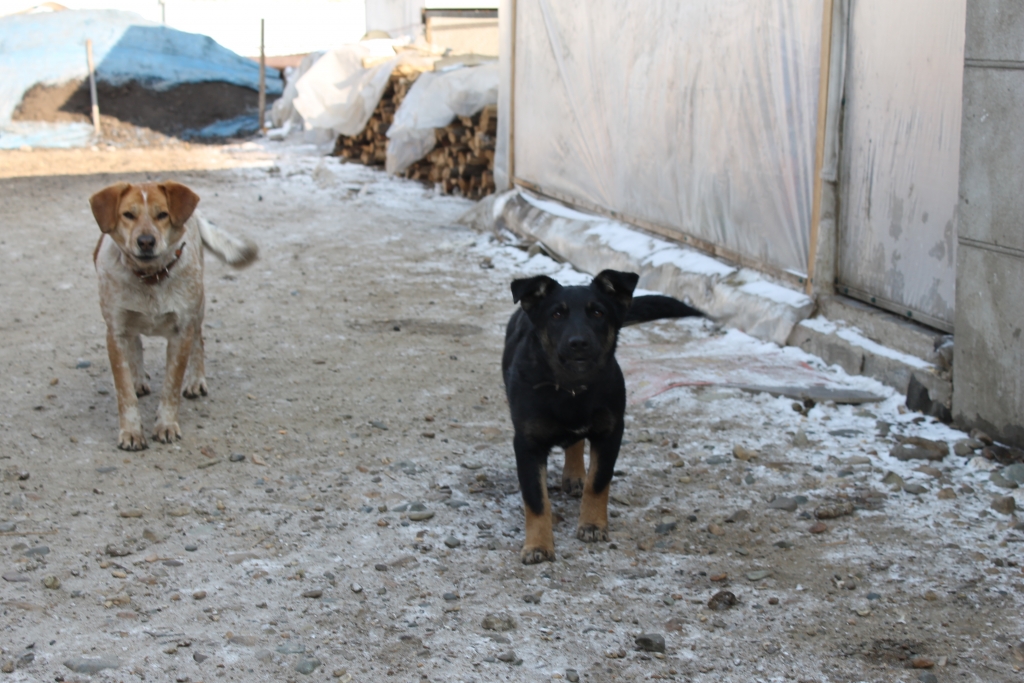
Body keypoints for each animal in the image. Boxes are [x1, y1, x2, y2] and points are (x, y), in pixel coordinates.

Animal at [90, 181, 258, 448]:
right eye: (128, 215)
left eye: (162, 214)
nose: (145, 241)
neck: (150, 278)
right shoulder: (115, 332)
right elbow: (125, 392)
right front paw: (131, 432)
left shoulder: (181, 332)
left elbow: (171, 386)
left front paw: (166, 425)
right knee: (135, 344)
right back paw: (138, 378)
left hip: (198, 310)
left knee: (199, 341)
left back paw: (195, 381)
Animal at [501, 270, 704, 565]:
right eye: (556, 314)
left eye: (597, 313)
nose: (578, 343)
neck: (572, 388)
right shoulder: (527, 443)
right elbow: (536, 499)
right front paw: (538, 545)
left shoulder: (611, 432)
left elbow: (598, 482)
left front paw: (592, 524)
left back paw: (575, 475)